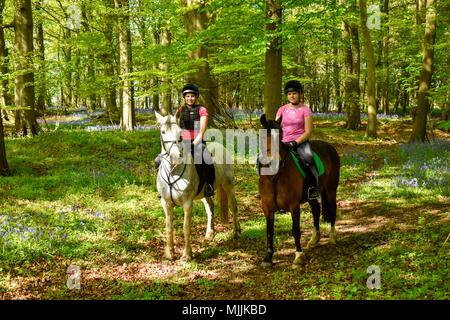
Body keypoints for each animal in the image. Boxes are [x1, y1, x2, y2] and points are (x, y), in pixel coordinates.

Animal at [155, 111, 241, 262]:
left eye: (180, 134)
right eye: (163, 132)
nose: (176, 157)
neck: (173, 172)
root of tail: (221, 146)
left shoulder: (187, 203)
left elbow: (186, 227)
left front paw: (187, 255)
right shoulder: (166, 203)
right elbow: (169, 227)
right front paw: (169, 253)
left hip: (229, 185)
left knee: (233, 207)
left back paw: (235, 232)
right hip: (204, 194)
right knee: (210, 208)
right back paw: (210, 233)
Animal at [258, 115, 340, 268]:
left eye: (281, 134)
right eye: (263, 135)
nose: (275, 161)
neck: (275, 176)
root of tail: (329, 147)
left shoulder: (293, 206)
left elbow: (295, 230)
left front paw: (298, 256)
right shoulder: (267, 208)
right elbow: (269, 232)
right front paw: (268, 258)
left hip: (331, 189)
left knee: (332, 208)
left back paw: (332, 237)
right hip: (311, 195)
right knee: (316, 209)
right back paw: (314, 239)